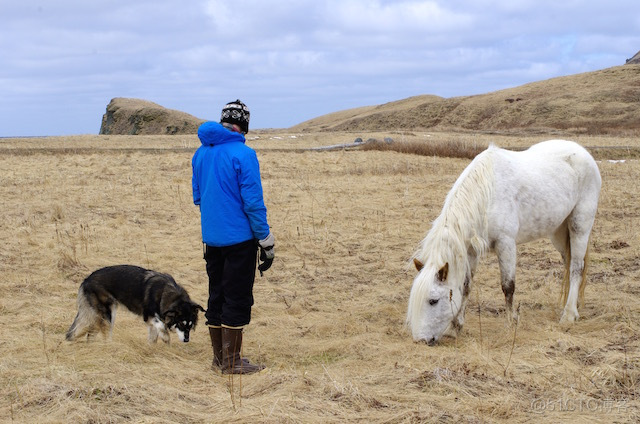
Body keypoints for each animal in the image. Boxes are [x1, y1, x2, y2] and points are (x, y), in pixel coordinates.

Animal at [66, 264, 204, 344]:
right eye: (181, 324)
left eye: (190, 326)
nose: (186, 340)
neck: (165, 293)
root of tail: (86, 279)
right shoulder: (149, 316)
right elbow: (160, 325)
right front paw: (165, 337)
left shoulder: (152, 323)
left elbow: (153, 338)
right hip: (107, 315)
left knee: (90, 334)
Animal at [410, 140, 600, 344]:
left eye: (433, 301)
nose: (420, 340)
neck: (486, 195)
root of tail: (582, 152)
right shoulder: (471, 250)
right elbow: (466, 286)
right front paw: (455, 328)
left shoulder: (506, 244)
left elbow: (508, 286)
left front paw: (511, 324)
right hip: (559, 232)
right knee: (569, 264)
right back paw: (574, 305)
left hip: (579, 226)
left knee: (576, 267)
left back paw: (569, 314)